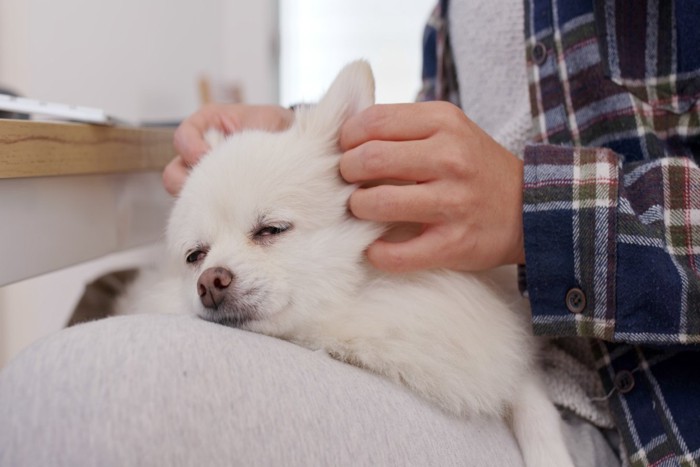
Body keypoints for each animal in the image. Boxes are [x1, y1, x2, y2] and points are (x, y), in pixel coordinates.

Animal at [131, 63, 576, 467]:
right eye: (195, 257)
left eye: (271, 229)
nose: (209, 282)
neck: (353, 314)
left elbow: (533, 403)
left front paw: (551, 455)